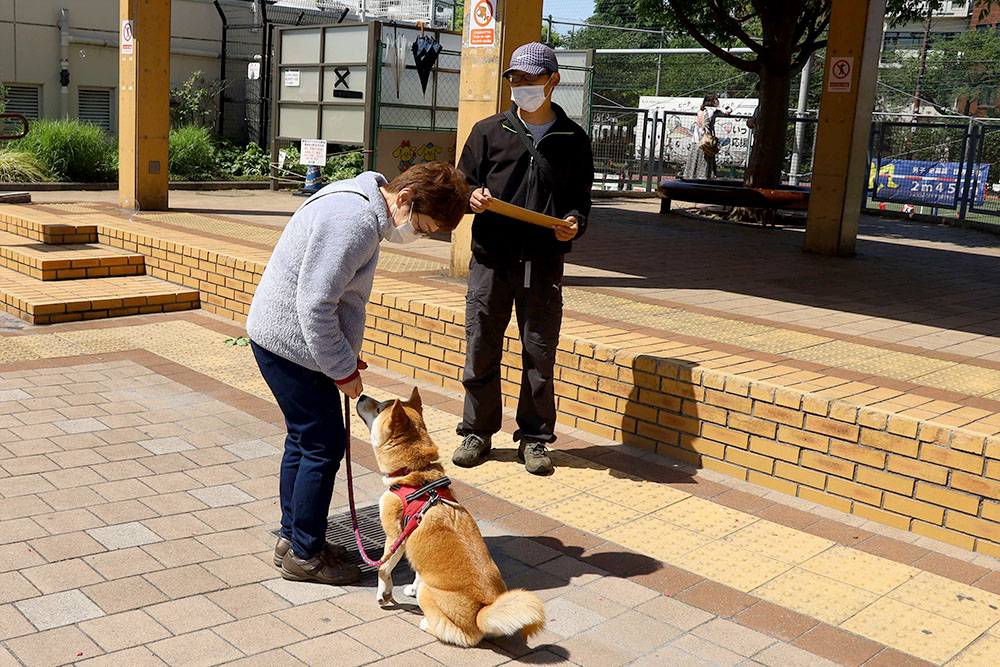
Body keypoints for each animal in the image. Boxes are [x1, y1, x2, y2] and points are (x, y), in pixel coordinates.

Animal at [358, 388, 548, 648]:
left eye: (378, 409)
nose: (361, 395)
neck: (415, 475)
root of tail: (482, 612)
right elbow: (418, 571)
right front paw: (412, 587)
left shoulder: (395, 536)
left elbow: (383, 569)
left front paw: (383, 595)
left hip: (436, 603)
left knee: (461, 636)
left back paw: (427, 623)